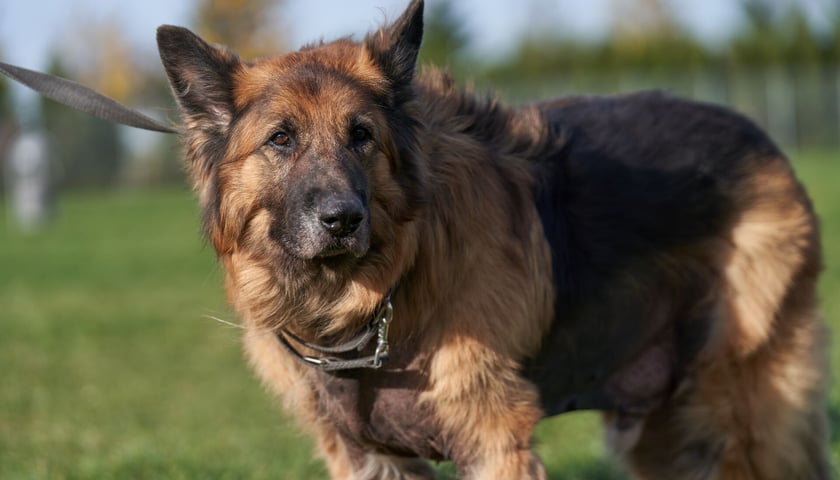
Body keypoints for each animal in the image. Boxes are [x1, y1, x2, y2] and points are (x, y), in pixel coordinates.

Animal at [154, 0, 832, 476]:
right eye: (281, 139)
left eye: (361, 136)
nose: (342, 219)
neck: (375, 302)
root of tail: (761, 138)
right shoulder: (369, 457)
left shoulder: (493, 441)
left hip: (737, 410)